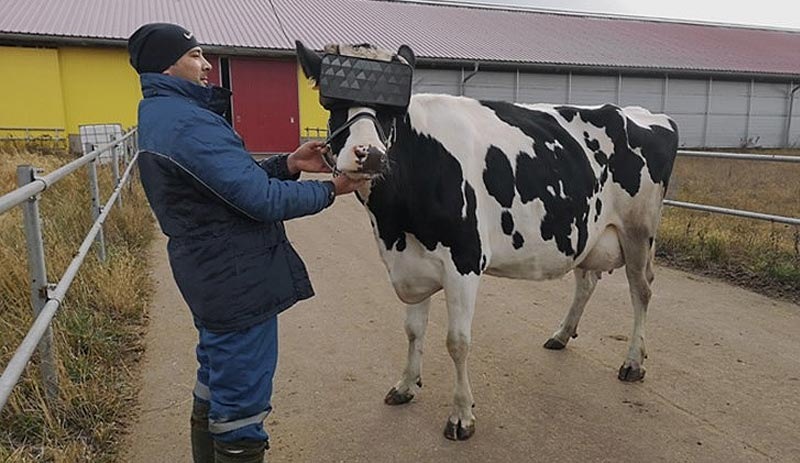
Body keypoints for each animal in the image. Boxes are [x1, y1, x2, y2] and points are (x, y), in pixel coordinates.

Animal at [296, 40, 680, 442]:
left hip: (639, 230)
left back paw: (633, 362)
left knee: (641, 290)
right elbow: (413, 331)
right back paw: (562, 334)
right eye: (333, 105)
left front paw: (461, 415)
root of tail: (644, 114)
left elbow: (457, 341)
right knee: (587, 280)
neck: (394, 225)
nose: (368, 154)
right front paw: (405, 385)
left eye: (392, 111)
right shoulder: (410, 263)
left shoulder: (464, 260)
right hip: (586, 230)